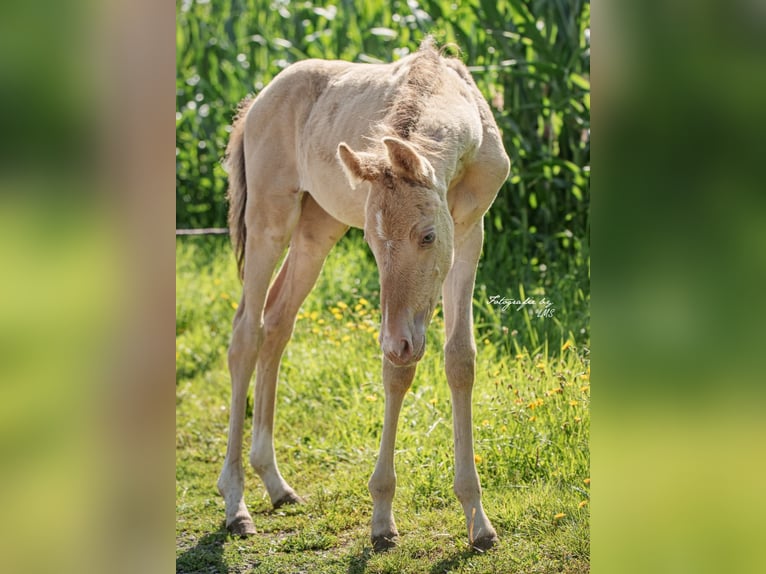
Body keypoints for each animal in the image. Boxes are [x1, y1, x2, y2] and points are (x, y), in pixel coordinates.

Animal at [219, 40, 512, 552]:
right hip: (269, 220)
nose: (398, 340)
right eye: (374, 245)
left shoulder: (470, 231)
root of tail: (256, 103)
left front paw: (478, 521)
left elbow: (459, 359)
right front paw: (382, 517)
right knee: (245, 335)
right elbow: (398, 371)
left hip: (318, 227)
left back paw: (276, 484)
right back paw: (236, 503)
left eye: (428, 236)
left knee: (277, 322)